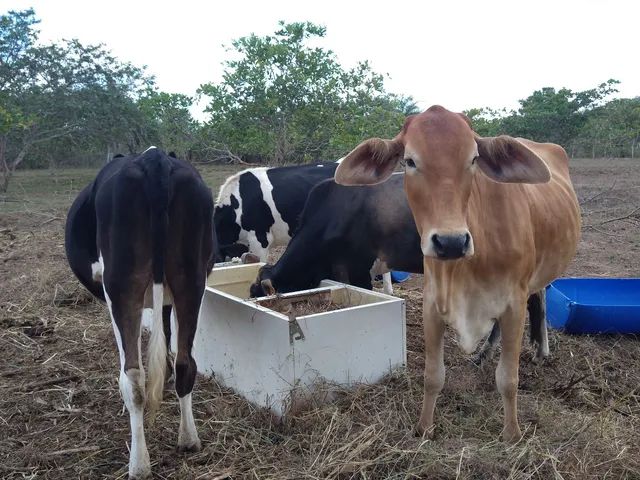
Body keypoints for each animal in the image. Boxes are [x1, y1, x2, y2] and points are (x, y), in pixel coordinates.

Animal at [65, 148, 215, 478]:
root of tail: (155, 158)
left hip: (121, 287)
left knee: (133, 378)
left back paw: (139, 464)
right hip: (191, 280)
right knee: (186, 362)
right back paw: (189, 439)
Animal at [336, 105, 580, 442]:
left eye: (474, 159)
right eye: (409, 161)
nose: (451, 242)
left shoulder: (514, 305)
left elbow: (508, 378)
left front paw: (512, 434)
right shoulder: (432, 303)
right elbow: (433, 375)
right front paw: (424, 427)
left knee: (540, 296)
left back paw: (541, 349)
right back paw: (484, 354)